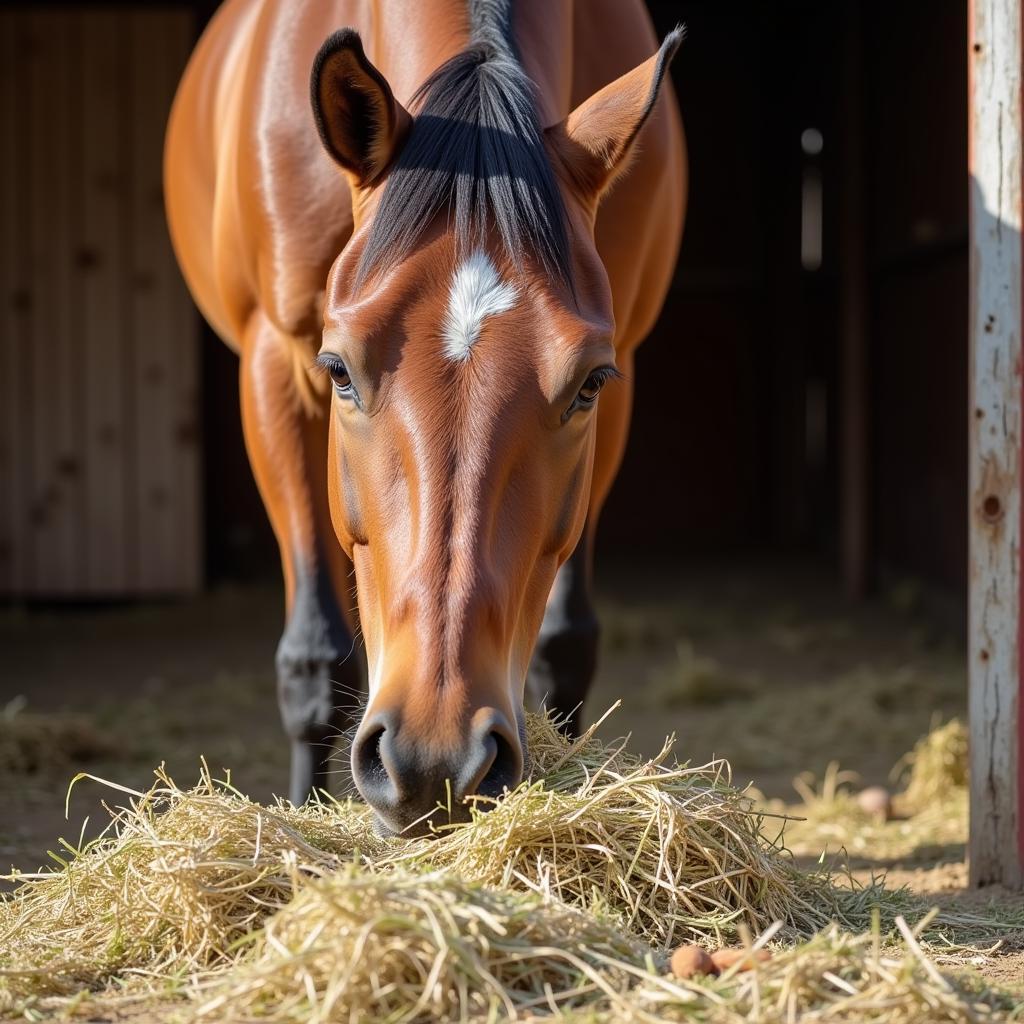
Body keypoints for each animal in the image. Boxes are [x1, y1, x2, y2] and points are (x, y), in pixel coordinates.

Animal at [163, 0, 684, 831]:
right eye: (340, 372)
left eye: (587, 386)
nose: (435, 758)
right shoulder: (275, 361)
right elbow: (314, 659)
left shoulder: (624, 364)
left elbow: (566, 644)